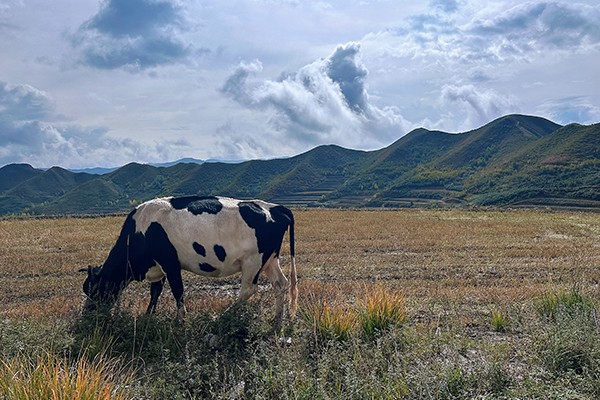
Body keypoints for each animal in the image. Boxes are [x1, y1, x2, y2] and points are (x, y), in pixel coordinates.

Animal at [81, 195, 296, 324]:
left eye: (94, 289)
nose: (87, 315)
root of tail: (274, 207)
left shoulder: (170, 263)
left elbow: (178, 291)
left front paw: (180, 320)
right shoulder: (158, 267)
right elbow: (155, 292)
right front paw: (149, 315)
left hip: (253, 261)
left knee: (248, 289)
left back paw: (224, 315)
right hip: (270, 260)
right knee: (281, 284)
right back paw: (277, 319)